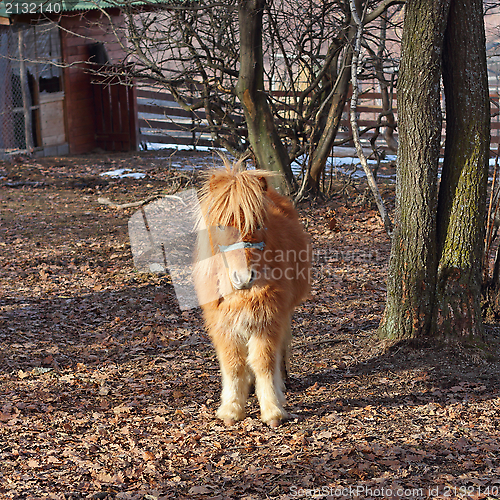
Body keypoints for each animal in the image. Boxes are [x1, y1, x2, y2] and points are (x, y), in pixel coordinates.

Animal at [193, 159, 310, 426]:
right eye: (220, 225)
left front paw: (273, 410)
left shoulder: (268, 319)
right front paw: (231, 409)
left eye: (257, 224)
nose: (244, 277)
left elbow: (264, 362)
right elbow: (234, 364)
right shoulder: (223, 324)